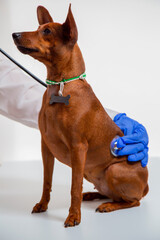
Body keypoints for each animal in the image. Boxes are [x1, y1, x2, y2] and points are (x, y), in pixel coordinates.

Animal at [12, 5, 149, 227]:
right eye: (38, 27)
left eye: (47, 31)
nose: (14, 34)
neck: (61, 87)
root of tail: (146, 186)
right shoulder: (46, 148)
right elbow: (46, 181)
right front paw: (43, 204)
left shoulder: (78, 148)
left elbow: (74, 187)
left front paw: (74, 216)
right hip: (91, 174)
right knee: (112, 194)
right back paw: (93, 195)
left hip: (113, 171)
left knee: (133, 201)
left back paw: (108, 206)